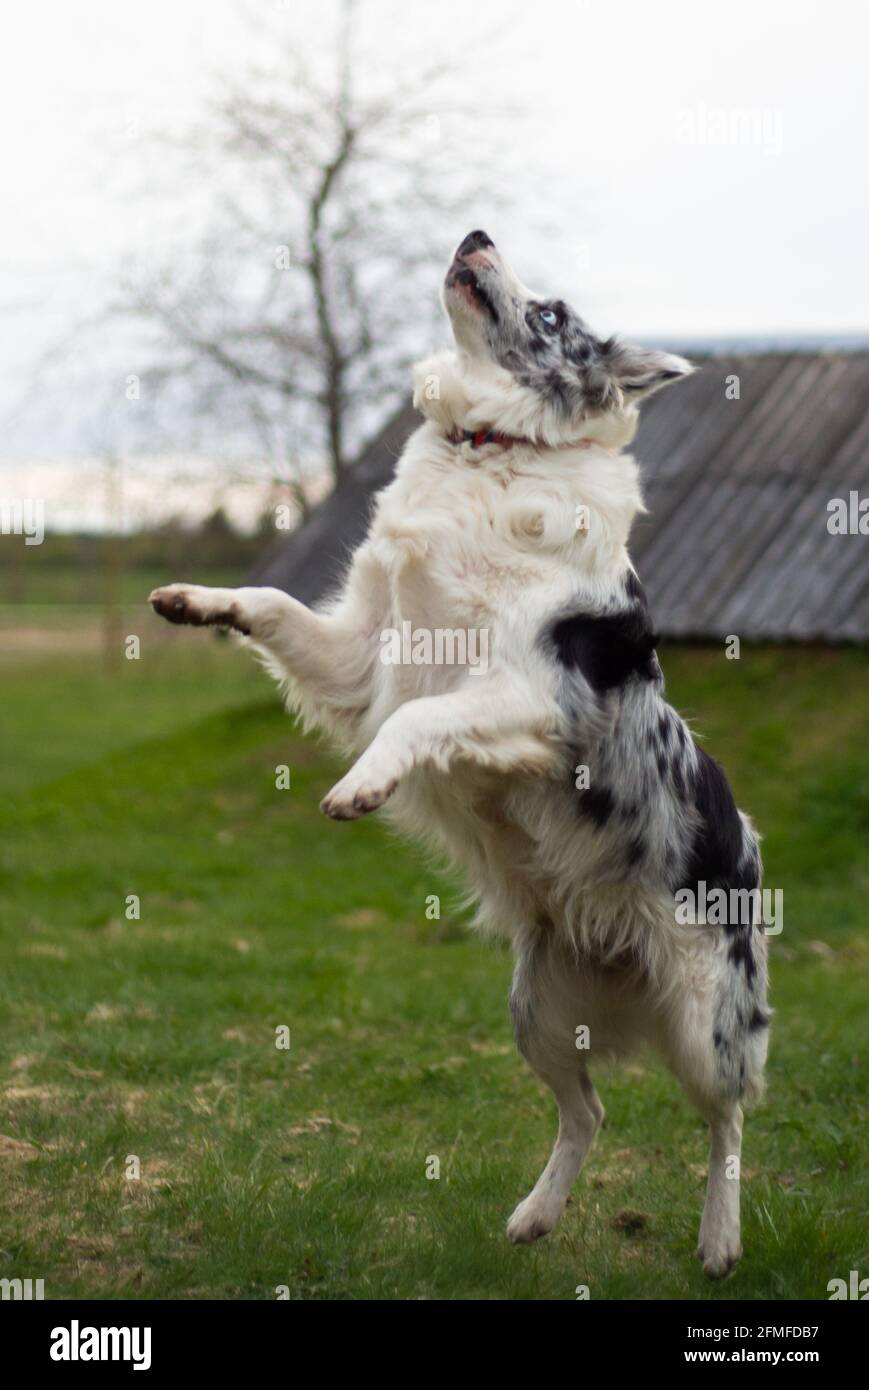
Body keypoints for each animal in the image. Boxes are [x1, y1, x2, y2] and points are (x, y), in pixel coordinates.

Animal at [148, 227, 767, 1278]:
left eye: (552, 314)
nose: (477, 235)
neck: (491, 450)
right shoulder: (364, 654)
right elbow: (274, 607)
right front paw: (199, 602)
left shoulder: (532, 699)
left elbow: (414, 726)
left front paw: (360, 786)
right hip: (537, 1009)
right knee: (589, 1112)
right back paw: (534, 1215)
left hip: (703, 1017)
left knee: (725, 1122)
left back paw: (718, 1240)